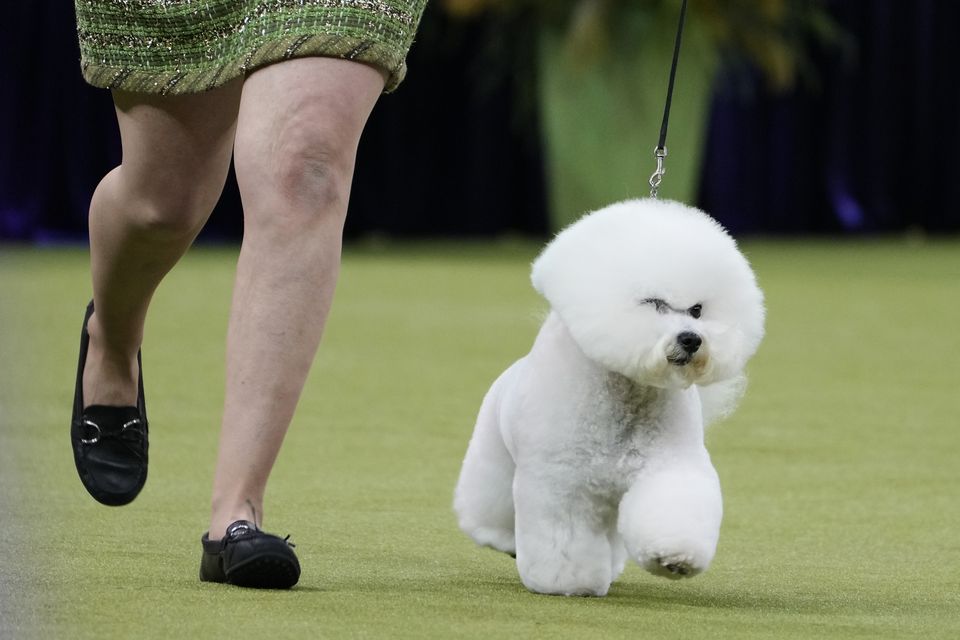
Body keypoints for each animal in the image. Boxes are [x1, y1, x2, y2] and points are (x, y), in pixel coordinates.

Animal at [456, 199, 764, 596]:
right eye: (654, 303)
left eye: (697, 310)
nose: (692, 339)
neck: (628, 395)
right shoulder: (562, 480)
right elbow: (565, 536)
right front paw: (567, 582)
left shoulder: (668, 465)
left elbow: (673, 505)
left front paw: (675, 557)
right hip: (493, 455)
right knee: (489, 505)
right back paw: (499, 538)